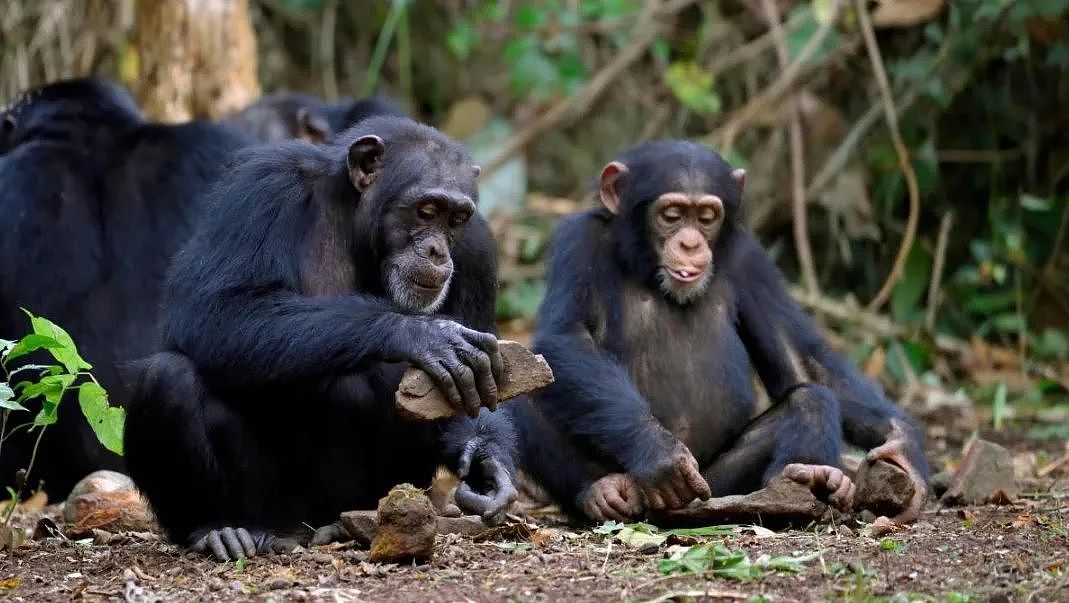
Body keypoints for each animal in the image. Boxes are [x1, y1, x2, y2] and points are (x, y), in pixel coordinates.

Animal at [122, 116, 519, 560]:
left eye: (456, 220)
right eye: (427, 210)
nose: (437, 251)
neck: (358, 226)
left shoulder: (477, 248)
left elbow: (483, 378)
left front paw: (486, 462)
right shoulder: (261, 187)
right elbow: (213, 307)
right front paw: (420, 334)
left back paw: (346, 525)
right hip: (264, 504)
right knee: (167, 376)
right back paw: (215, 528)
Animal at [508, 140, 927, 523]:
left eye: (707, 216)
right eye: (672, 214)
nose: (691, 243)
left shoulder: (751, 259)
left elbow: (800, 363)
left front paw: (902, 447)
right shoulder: (578, 240)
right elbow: (567, 336)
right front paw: (658, 451)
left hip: (717, 484)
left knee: (810, 398)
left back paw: (810, 482)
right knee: (531, 394)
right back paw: (603, 490)